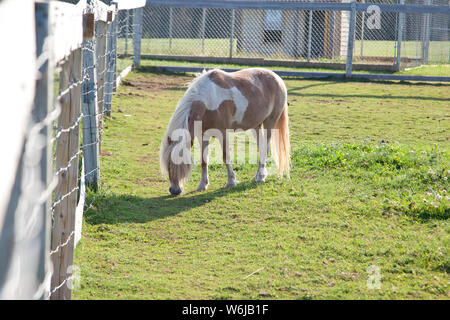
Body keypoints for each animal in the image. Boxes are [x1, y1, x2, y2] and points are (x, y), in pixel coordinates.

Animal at [160, 68, 290, 195]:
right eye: (167, 164)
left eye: (181, 162)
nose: (174, 190)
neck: (208, 100)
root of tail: (277, 78)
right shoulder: (203, 136)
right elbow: (204, 160)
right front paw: (202, 185)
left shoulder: (222, 133)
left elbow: (225, 156)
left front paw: (231, 181)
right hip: (256, 126)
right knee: (261, 148)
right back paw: (258, 175)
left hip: (270, 122)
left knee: (265, 148)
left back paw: (260, 178)